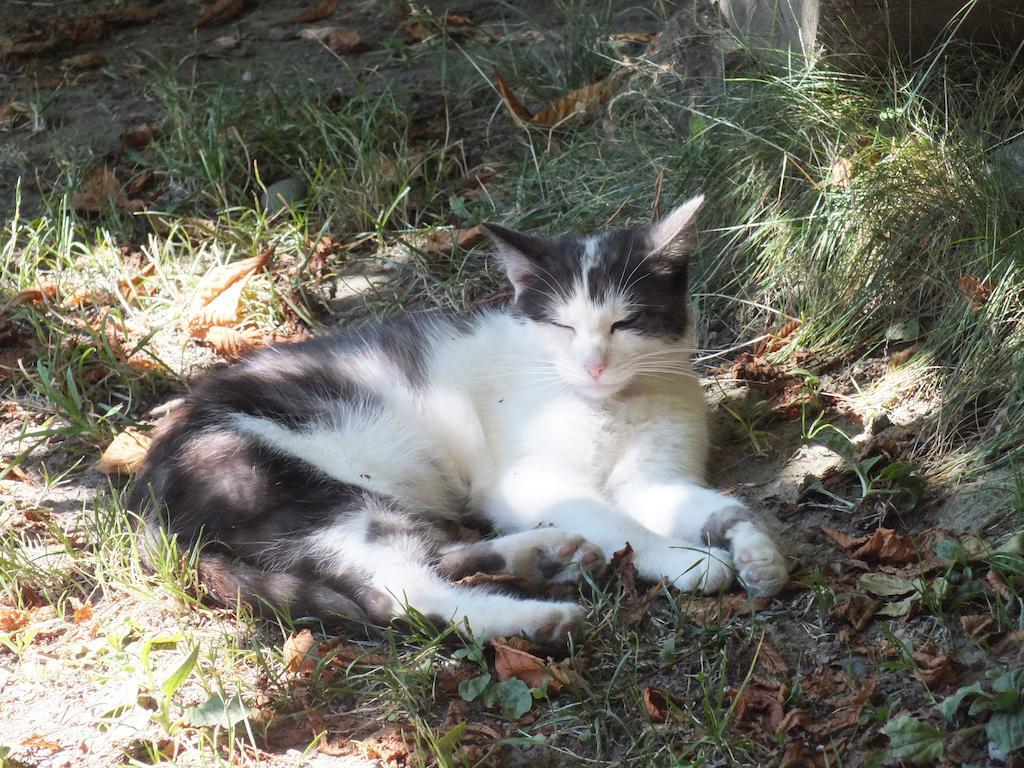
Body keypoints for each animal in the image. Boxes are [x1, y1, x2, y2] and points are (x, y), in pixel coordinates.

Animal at [128, 195, 782, 638]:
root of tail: (145, 490)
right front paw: (684, 559)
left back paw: (545, 556)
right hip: (305, 489)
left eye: (626, 322)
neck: (608, 407)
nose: (594, 364)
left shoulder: (655, 478)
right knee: (401, 592)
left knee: (432, 555)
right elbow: (616, 519)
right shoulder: (526, 480)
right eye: (564, 326)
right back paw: (539, 617)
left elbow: (712, 505)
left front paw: (755, 550)